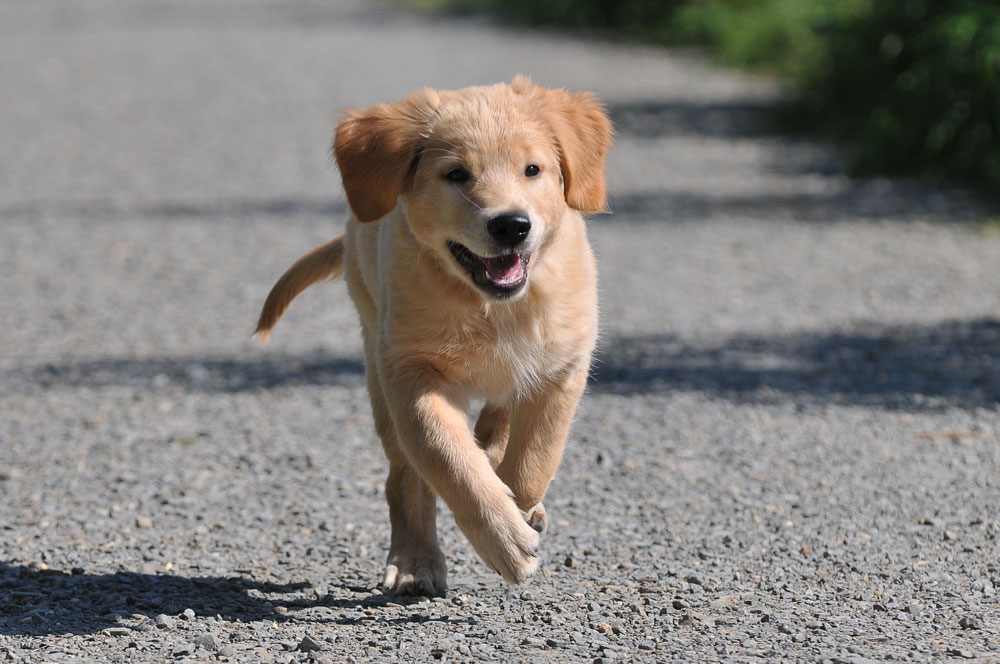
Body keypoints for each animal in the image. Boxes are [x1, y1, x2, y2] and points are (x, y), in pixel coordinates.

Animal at [256, 78, 608, 596]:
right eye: (456, 174)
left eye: (533, 170)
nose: (512, 225)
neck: (491, 308)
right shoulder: (412, 373)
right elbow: (448, 459)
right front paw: (505, 540)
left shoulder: (562, 364)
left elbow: (534, 458)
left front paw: (520, 509)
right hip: (376, 361)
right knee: (405, 476)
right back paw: (414, 562)